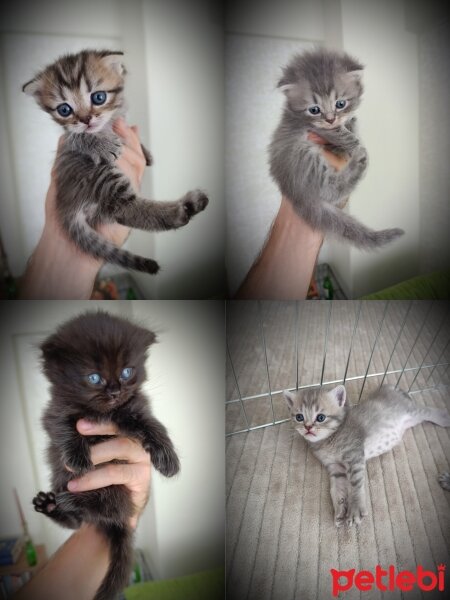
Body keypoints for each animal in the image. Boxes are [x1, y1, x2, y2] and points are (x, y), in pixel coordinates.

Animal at [22, 49, 209, 274]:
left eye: (99, 97)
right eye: (64, 110)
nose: (86, 120)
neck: (108, 123)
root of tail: (65, 205)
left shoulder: (121, 117)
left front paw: (147, 153)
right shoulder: (67, 139)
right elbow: (77, 137)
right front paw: (101, 144)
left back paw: (191, 204)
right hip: (100, 175)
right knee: (124, 209)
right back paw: (180, 211)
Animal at [33, 310, 179, 600]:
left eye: (126, 372)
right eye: (94, 378)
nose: (114, 392)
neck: (104, 413)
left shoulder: (134, 407)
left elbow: (153, 425)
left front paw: (167, 457)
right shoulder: (55, 411)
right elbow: (64, 427)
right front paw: (78, 456)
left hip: (115, 489)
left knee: (101, 510)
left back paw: (65, 503)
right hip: (66, 480)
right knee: (81, 519)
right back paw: (54, 504)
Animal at [270, 47, 404, 251]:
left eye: (340, 103)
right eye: (314, 110)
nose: (330, 119)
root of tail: (295, 194)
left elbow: (349, 126)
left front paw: (351, 125)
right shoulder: (316, 128)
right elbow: (343, 135)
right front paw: (354, 143)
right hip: (303, 157)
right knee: (328, 190)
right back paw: (359, 161)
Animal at [284, 384, 450, 524]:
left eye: (320, 417)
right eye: (299, 417)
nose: (308, 428)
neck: (328, 440)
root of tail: (389, 388)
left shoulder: (354, 455)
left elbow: (355, 483)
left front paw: (355, 508)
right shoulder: (335, 467)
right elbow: (336, 489)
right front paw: (340, 509)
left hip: (411, 411)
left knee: (428, 411)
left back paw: (444, 417)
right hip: (411, 420)